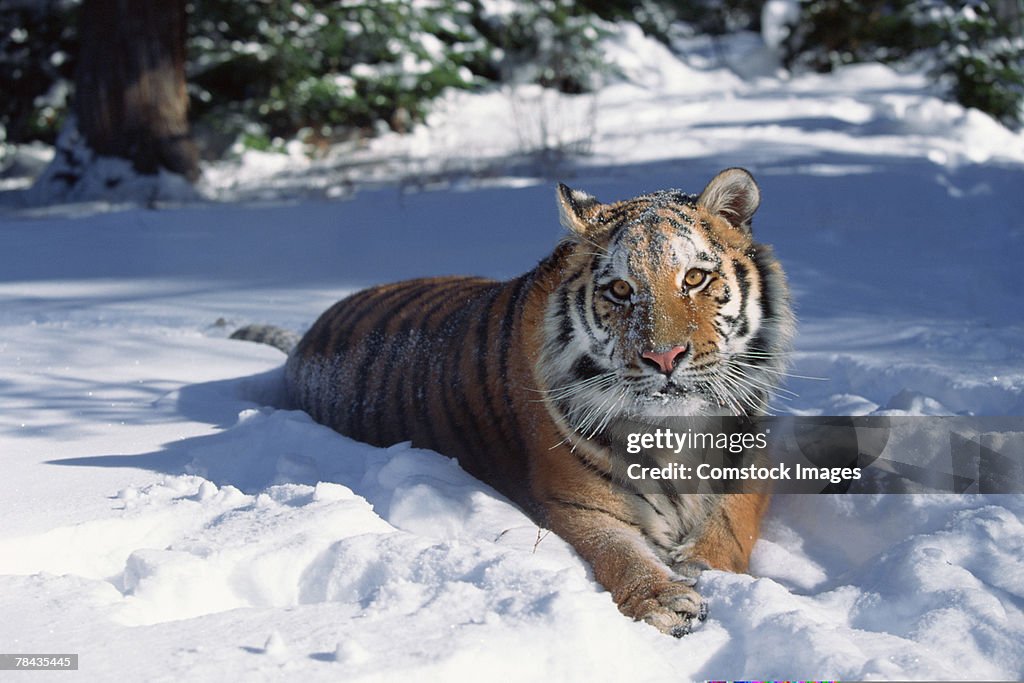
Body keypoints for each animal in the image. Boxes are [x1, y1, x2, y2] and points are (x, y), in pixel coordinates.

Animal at [235, 167, 794, 638]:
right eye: (619, 290)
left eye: (695, 278)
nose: (664, 357)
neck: (676, 429)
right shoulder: (577, 500)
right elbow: (621, 553)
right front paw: (666, 601)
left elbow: (733, 520)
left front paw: (704, 565)